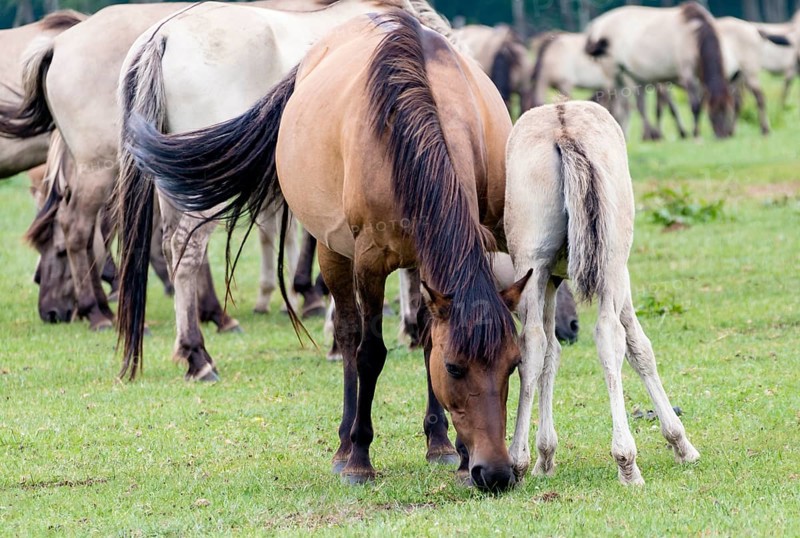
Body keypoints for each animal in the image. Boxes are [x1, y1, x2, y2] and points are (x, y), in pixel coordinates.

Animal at [504, 100, 699, 485]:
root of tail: (563, 125)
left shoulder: (550, 279)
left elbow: (549, 354)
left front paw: (544, 456)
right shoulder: (621, 275)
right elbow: (640, 348)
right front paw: (680, 443)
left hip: (533, 266)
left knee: (532, 344)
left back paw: (518, 460)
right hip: (611, 264)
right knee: (609, 335)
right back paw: (627, 462)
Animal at [585, 2, 734, 139]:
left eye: (727, 110)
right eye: (714, 112)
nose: (723, 135)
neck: (693, 33)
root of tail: (597, 24)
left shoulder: (699, 76)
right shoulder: (687, 73)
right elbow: (695, 105)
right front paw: (695, 133)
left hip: (630, 76)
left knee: (635, 106)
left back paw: (639, 134)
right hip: (612, 73)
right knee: (610, 104)